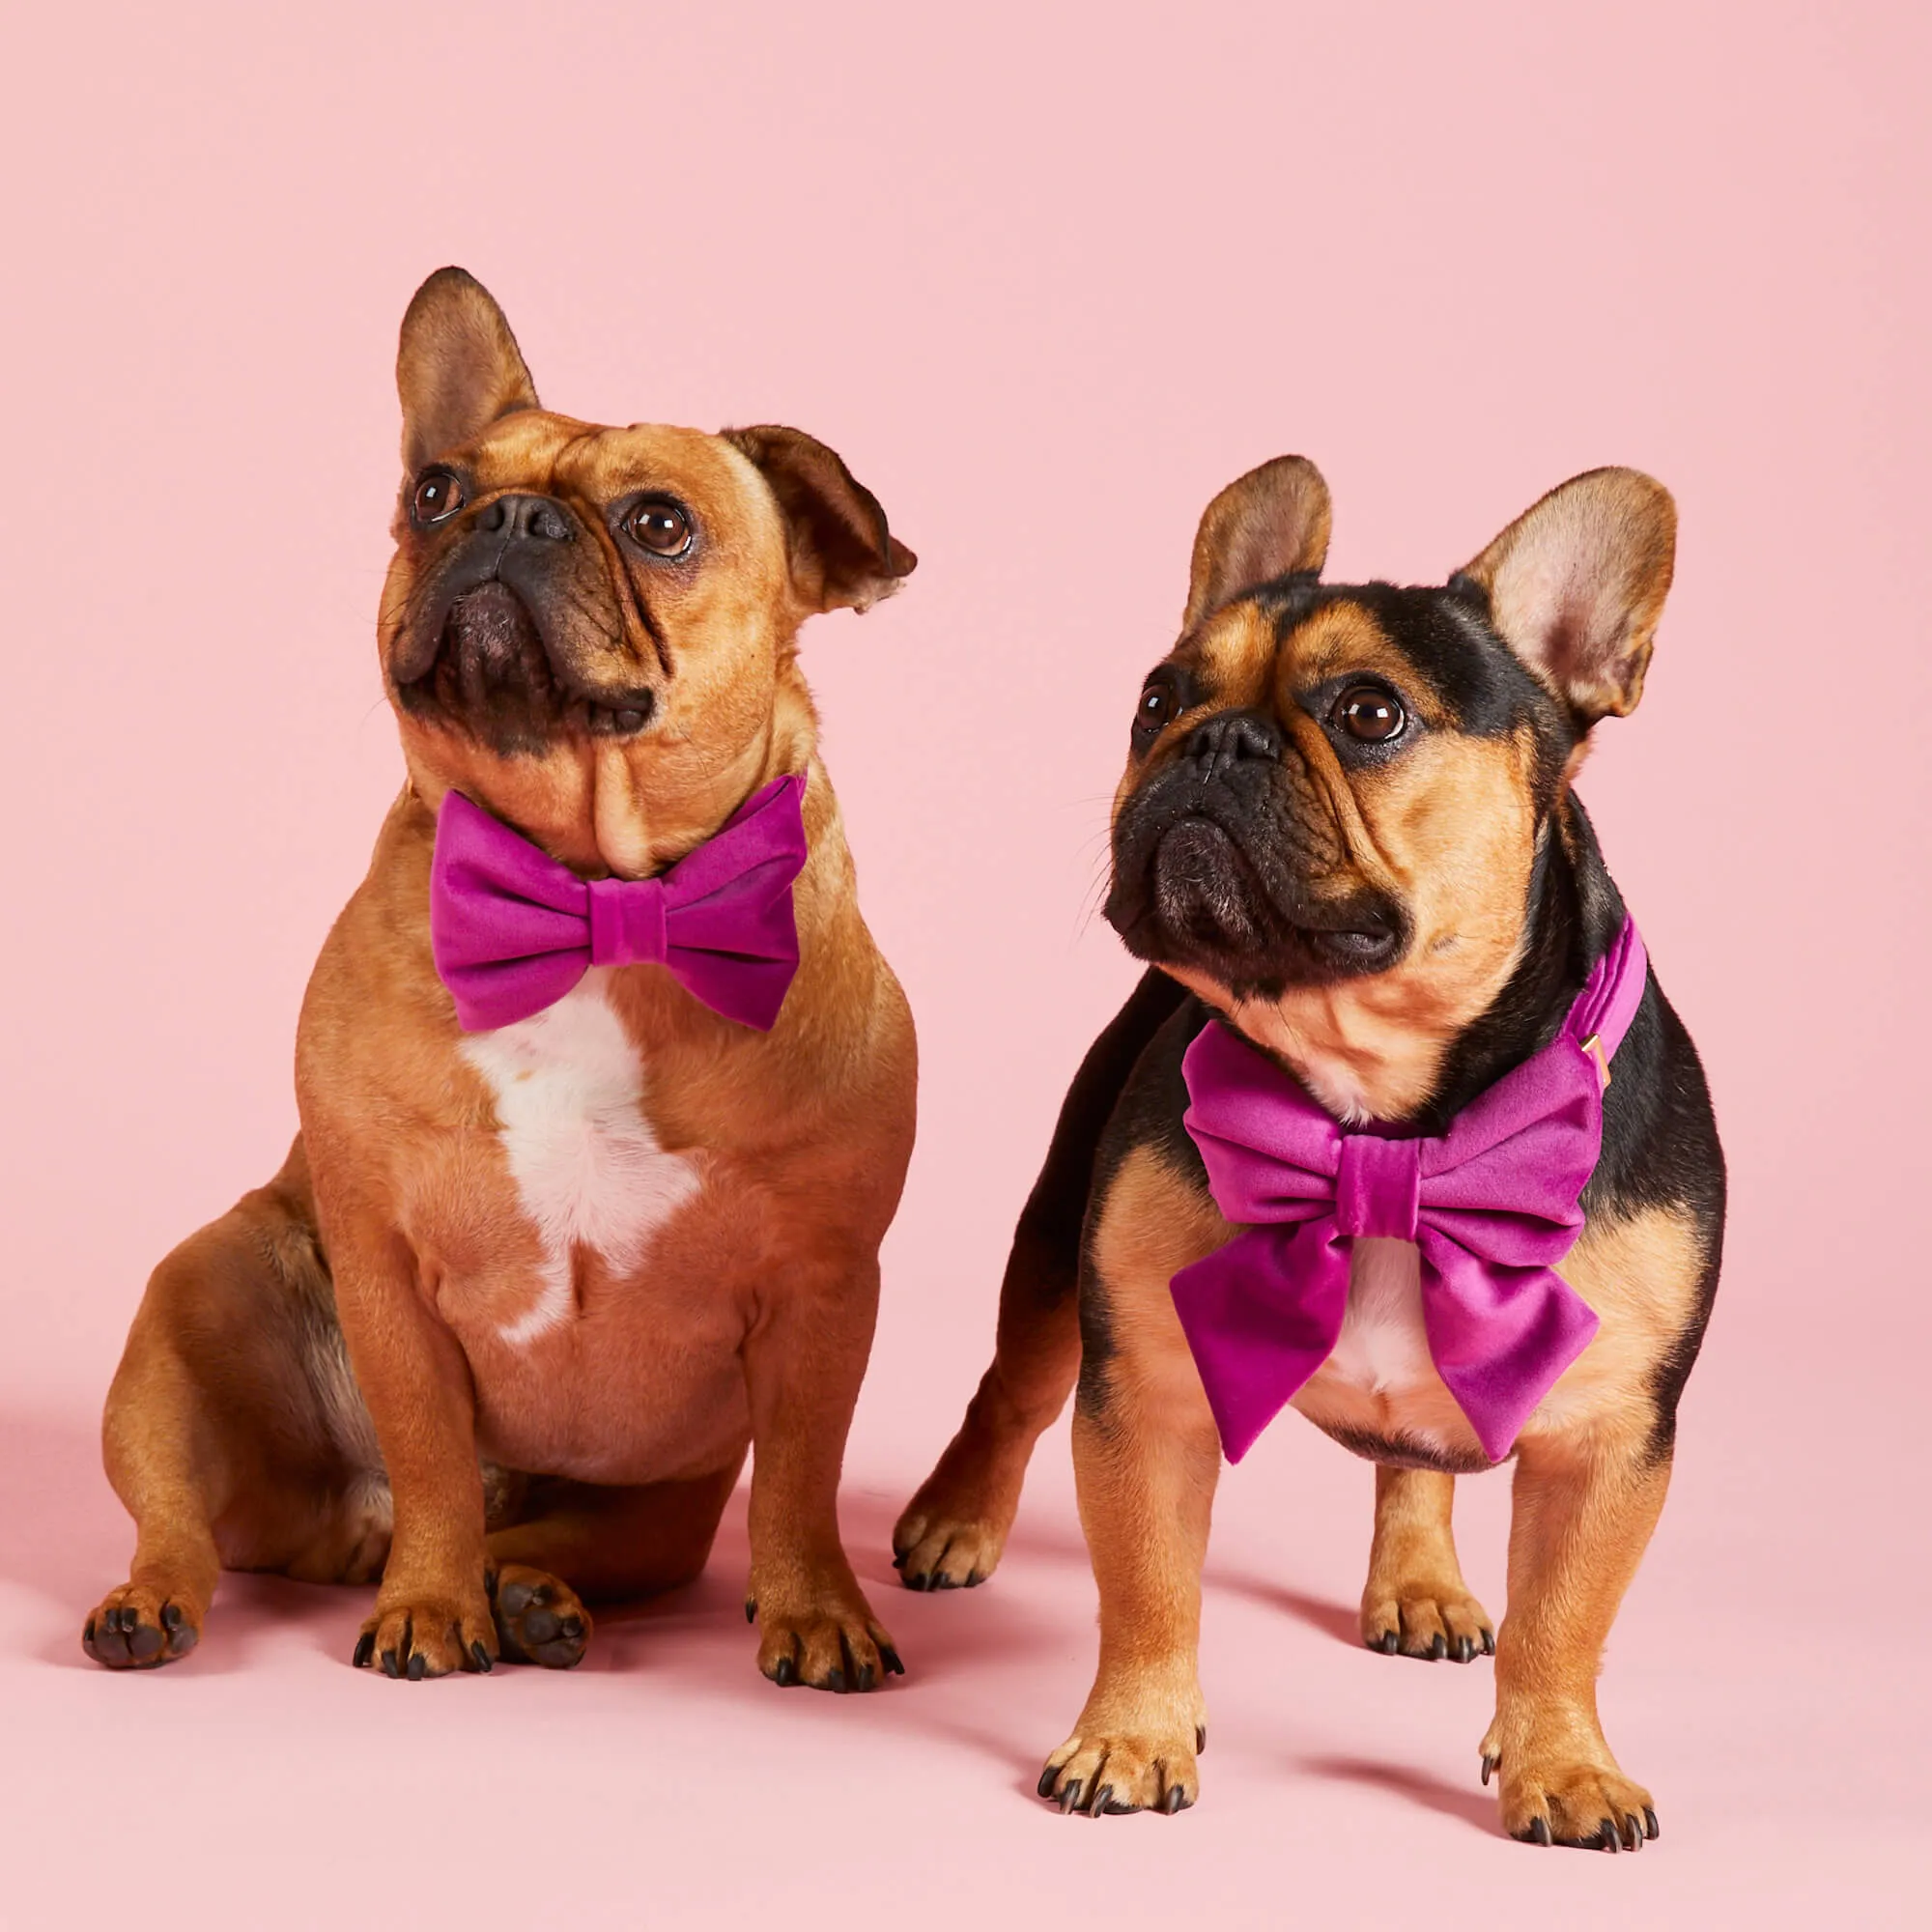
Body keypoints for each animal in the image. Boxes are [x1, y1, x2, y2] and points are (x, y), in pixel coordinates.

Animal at [94, 272, 923, 1692]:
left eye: (660, 524)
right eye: (435, 489)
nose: (505, 517)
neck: (594, 897)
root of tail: (340, 1530)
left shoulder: (825, 1290)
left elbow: (803, 1482)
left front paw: (819, 1610)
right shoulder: (387, 1267)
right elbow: (432, 1454)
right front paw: (429, 1608)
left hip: (661, 1508)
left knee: (556, 1540)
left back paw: (535, 1596)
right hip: (197, 1302)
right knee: (187, 1518)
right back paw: (168, 1600)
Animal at [896, 452, 1731, 1839]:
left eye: (1370, 713)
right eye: (1156, 696)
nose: (1210, 740)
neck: (1385, 1121)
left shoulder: (1610, 1434)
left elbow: (1564, 1621)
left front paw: (1564, 1763)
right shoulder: (1146, 1383)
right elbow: (1146, 1583)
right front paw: (1131, 1734)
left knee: (1417, 1467)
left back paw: (1421, 1580)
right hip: (1055, 1249)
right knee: (1010, 1388)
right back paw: (953, 1518)